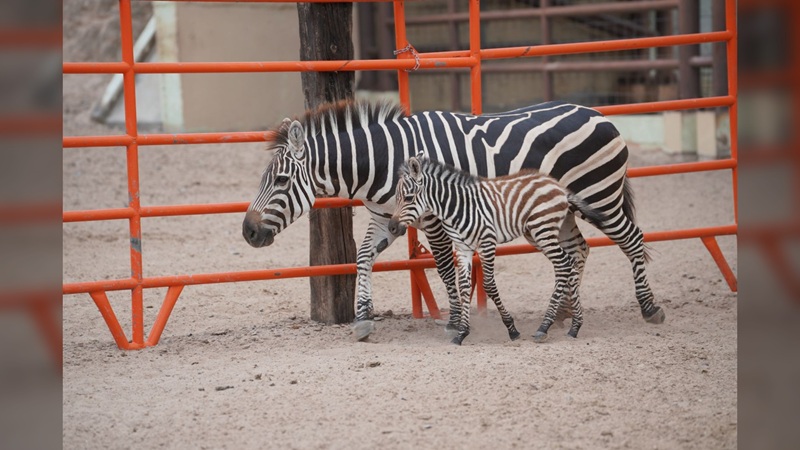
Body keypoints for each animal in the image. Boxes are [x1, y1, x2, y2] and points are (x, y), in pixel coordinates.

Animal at [387, 156, 608, 345]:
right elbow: (464, 286)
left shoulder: (487, 242)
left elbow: (489, 285)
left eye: (408, 198)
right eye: (396, 198)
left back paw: (545, 327)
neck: (457, 207)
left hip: (542, 229)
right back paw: (574, 326)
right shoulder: (463, 248)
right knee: (568, 263)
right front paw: (461, 333)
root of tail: (559, 186)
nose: (392, 228)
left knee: (563, 264)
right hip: (543, 232)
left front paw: (511, 329)